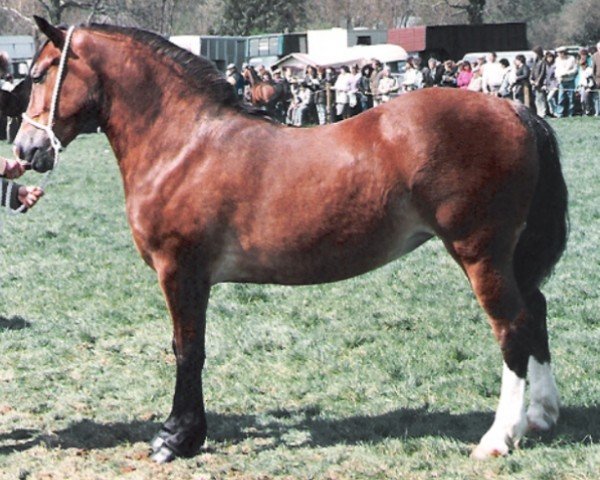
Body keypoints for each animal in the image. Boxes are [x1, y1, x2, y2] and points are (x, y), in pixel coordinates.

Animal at [14, 16, 568, 464]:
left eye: (39, 75)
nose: (25, 149)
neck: (185, 144)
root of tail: (516, 112)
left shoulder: (181, 271)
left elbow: (187, 349)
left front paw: (177, 437)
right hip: (511, 258)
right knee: (536, 314)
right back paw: (541, 416)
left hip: (481, 255)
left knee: (512, 328)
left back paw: (499, 437)